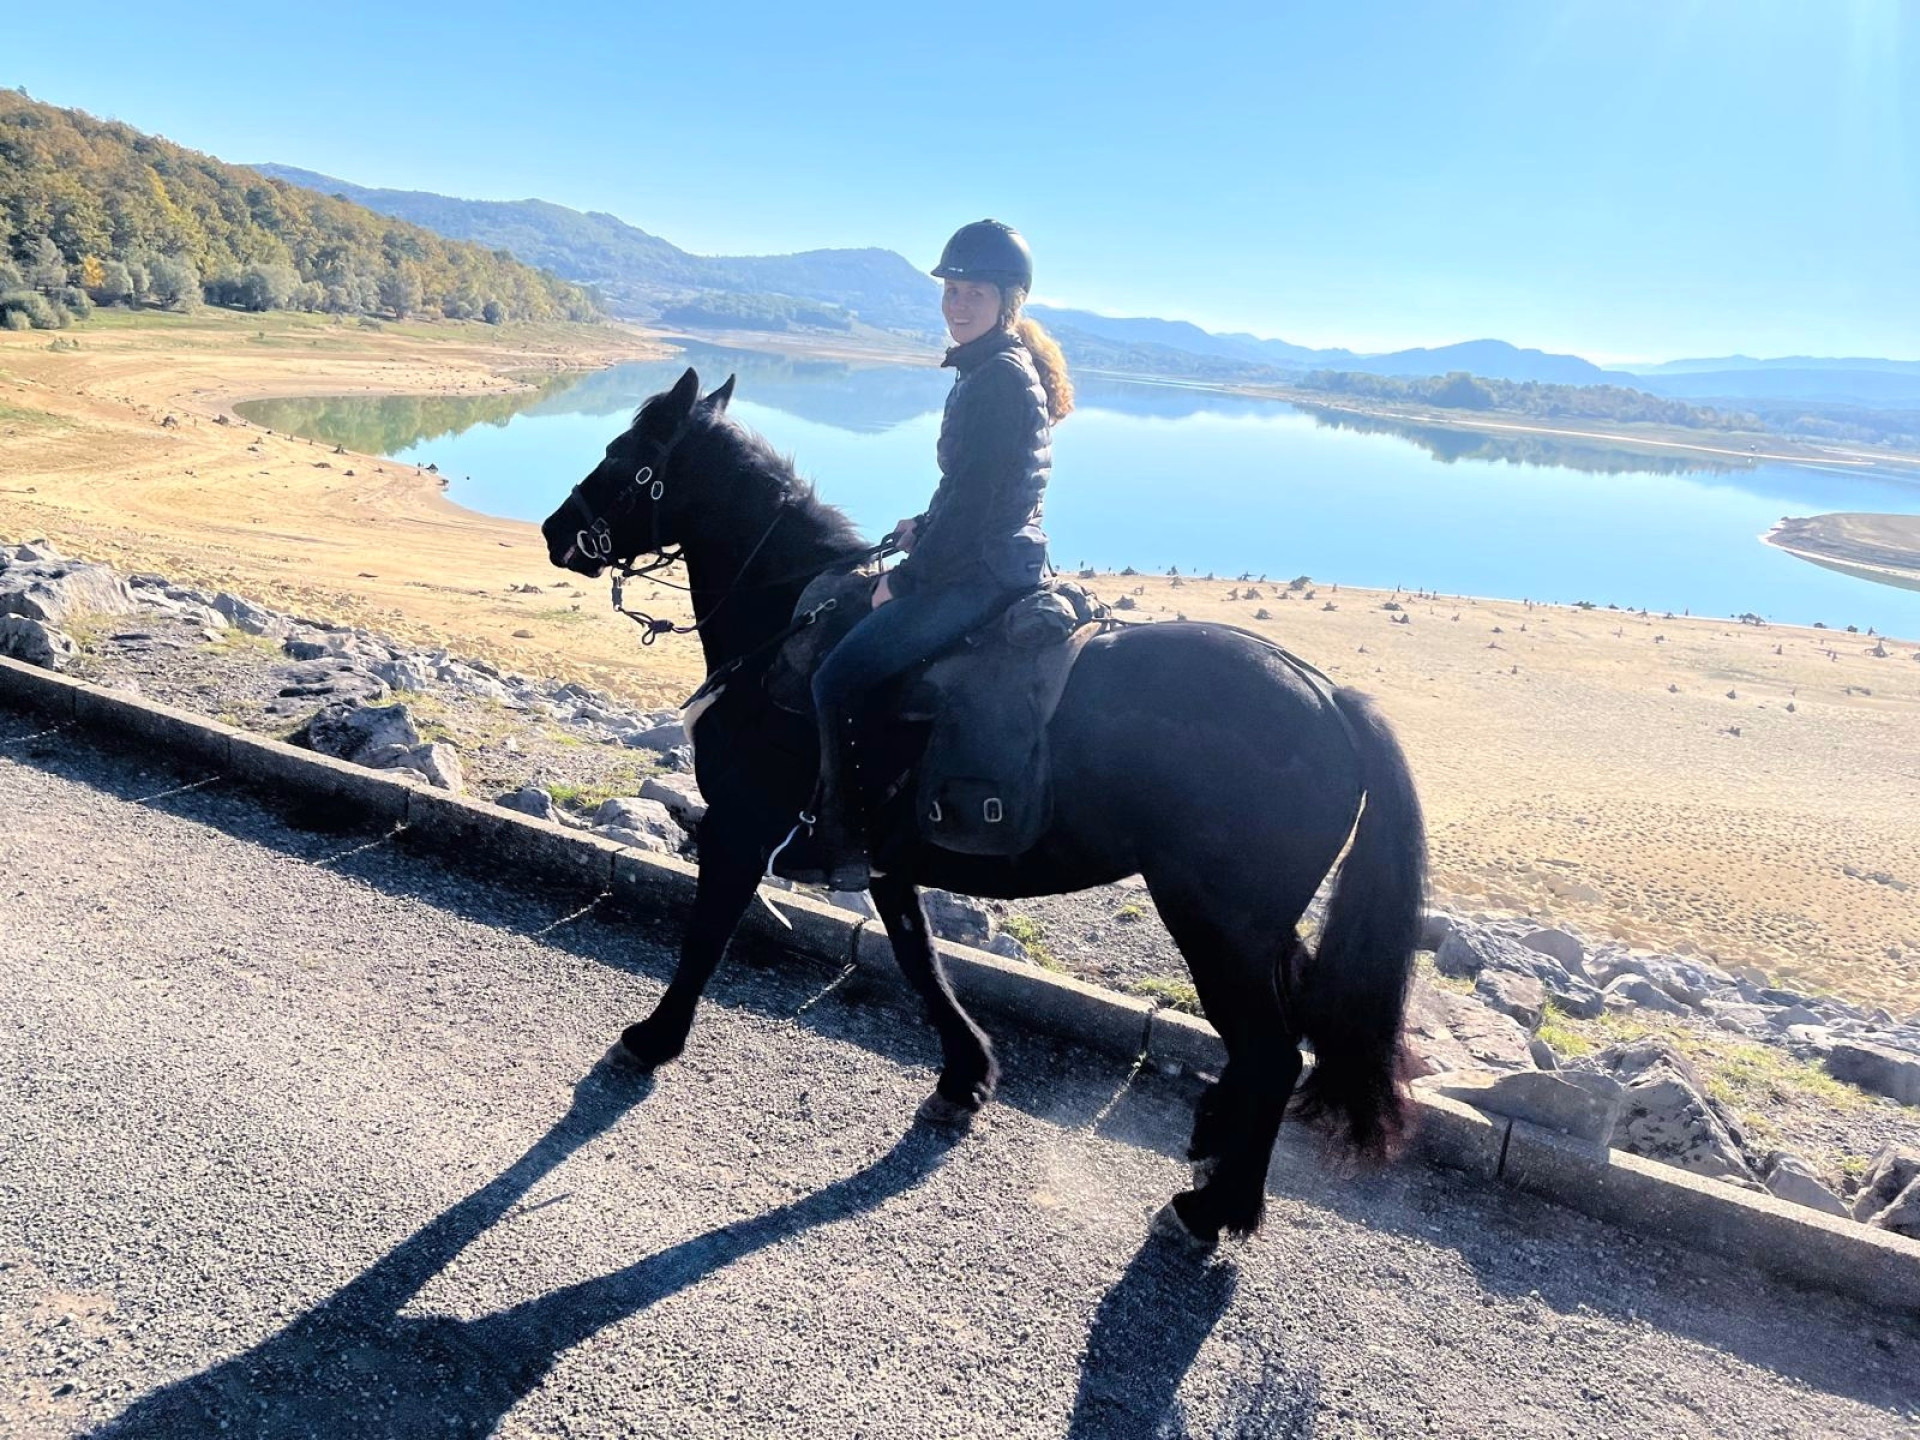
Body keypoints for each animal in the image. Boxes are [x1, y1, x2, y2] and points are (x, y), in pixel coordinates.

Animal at [541, 367, 1428, 1246]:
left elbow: (706, 938)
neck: (787, 631)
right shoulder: (879, 857)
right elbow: (919, 957)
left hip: (1218, 924)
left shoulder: (742, 829)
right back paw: (1213, 1145)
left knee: (1274, 1054)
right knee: (1271, 1043)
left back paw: (1220, 1208)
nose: (555, 529)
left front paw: (653, 1040)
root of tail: (1331, 698)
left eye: (621, 456)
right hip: (1258, 930)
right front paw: (966, 1075)